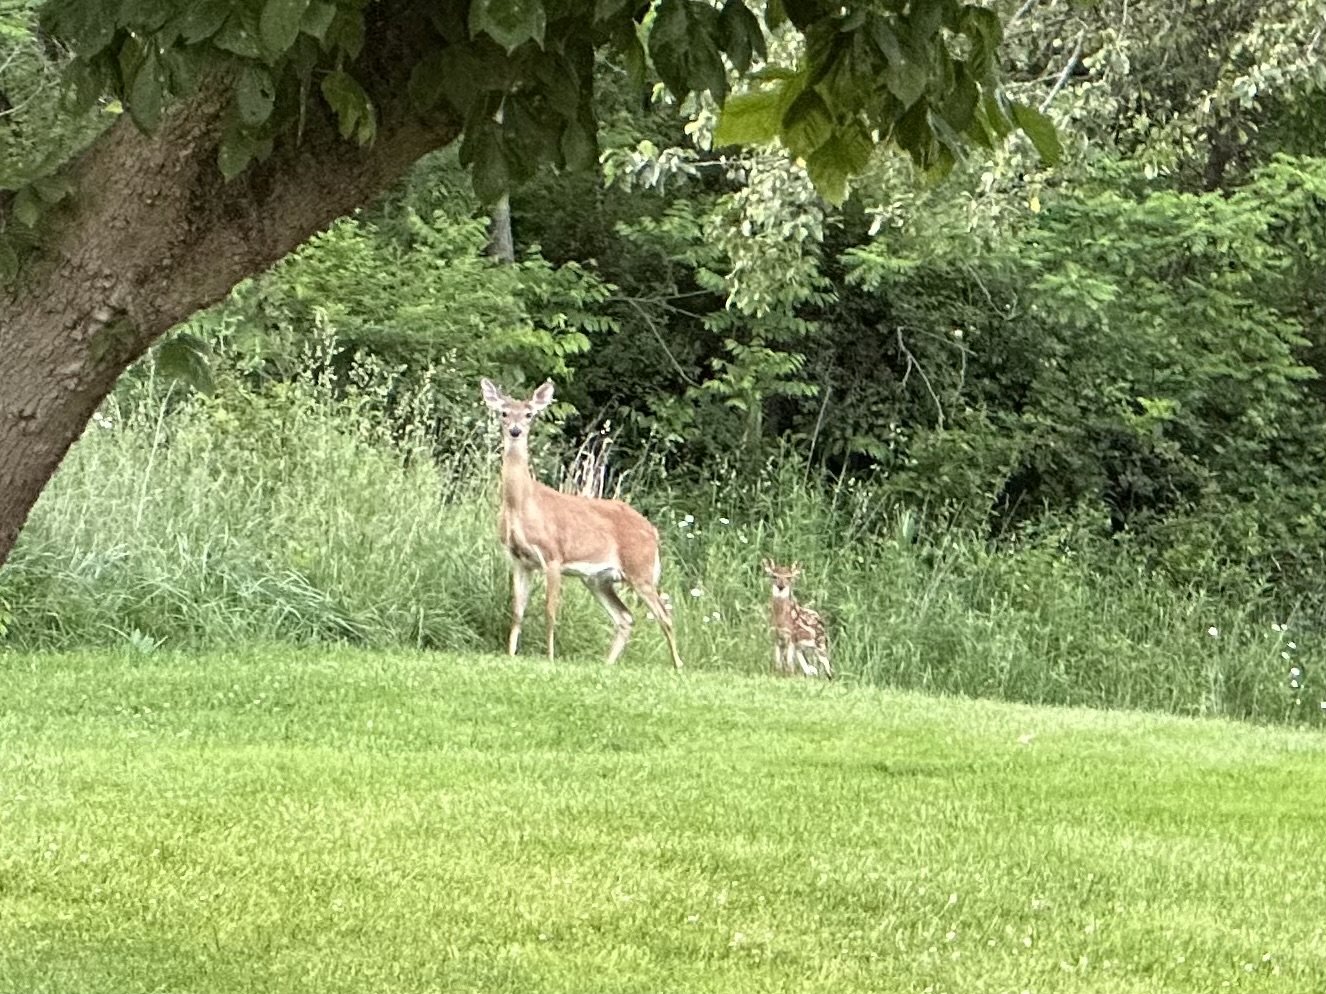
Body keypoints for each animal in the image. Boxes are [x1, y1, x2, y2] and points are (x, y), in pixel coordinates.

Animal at [480, 378, 683, 669]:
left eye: (529, 414)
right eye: (504, 413)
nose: (516, 430)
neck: (523, 504)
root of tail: (653, 532)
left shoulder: (553, 555)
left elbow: (550, 611)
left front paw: (550, 657)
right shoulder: (519, 560)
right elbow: (517, 610)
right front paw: (510, 654)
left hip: (640, 570)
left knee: (664, 615)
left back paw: (678, 666)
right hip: (598, 579)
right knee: (625, 617)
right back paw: (607, 664)